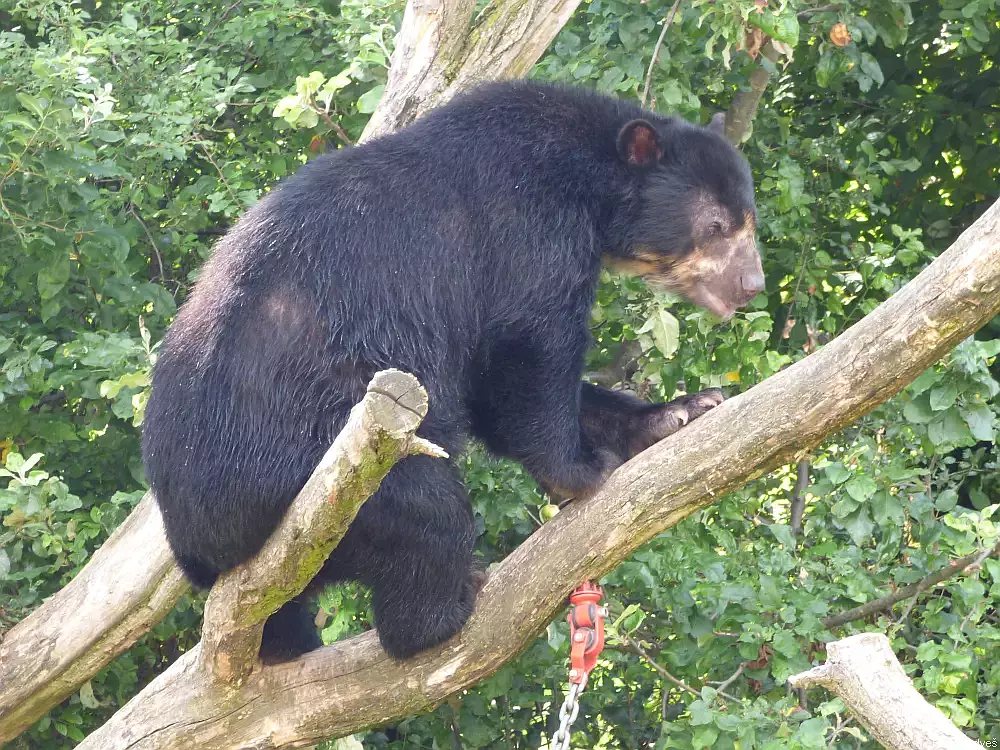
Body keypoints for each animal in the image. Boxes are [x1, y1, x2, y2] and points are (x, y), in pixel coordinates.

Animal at [141, 79, 760, 660]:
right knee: (425, 511)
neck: (587, 180)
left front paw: (680, 411)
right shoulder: (526, 231)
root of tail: (198, 547)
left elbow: (489, 384)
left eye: (747, 220)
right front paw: (581, 470)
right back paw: (447, 610)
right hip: (305, 461)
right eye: (716, 225)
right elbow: (526, 349)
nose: (752, 284)